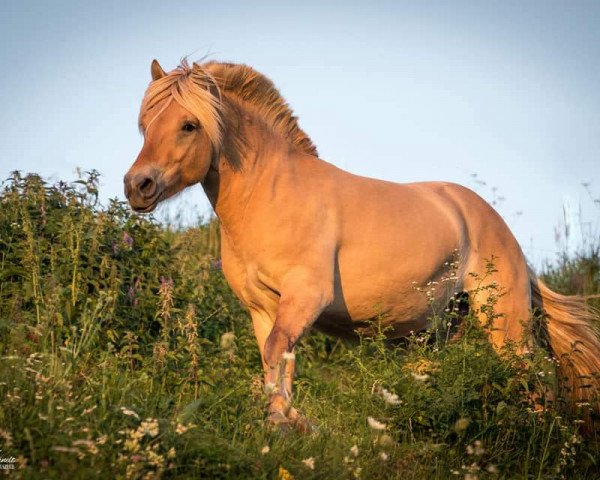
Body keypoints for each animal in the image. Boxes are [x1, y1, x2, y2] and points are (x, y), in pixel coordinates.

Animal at [123, 58, 600, 434]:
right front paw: (283, 424)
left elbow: (278, 355)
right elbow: (275, 360)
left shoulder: (306, 297)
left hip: (505, 323)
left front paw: (290, 422)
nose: (137, 186)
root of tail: (497, 227)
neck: (273, 195)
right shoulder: (263, 307)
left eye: (189, 125)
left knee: (534, 379)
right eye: (145, 126)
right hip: (440, 329)